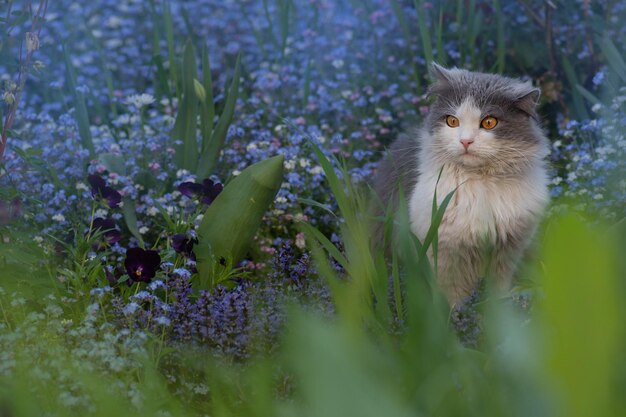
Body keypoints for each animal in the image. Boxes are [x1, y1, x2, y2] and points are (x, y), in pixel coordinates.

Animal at [372, 64, 548, 306]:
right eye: (452, 121)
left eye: (489, 122)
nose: (465, 141)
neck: (479, 183)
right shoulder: (446, 255)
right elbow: (453, 297)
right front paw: (455, 315)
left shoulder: (506, 252)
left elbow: (497, 291)